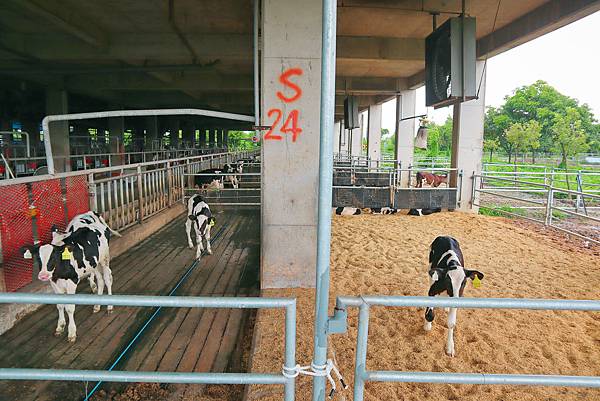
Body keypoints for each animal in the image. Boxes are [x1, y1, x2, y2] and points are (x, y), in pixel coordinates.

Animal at [22, 211, 118, 342]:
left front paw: (72, 332)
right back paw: (97, 305)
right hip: (94, 264)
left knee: (107, 279)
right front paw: (60, 326)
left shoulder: (72, 282)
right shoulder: (54, 283)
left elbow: (70, 307)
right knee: (100, 280)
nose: (43, 275)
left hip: (104, 259)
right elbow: (59, 305)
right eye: (38, 258)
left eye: (54, 257)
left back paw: (109, 306)